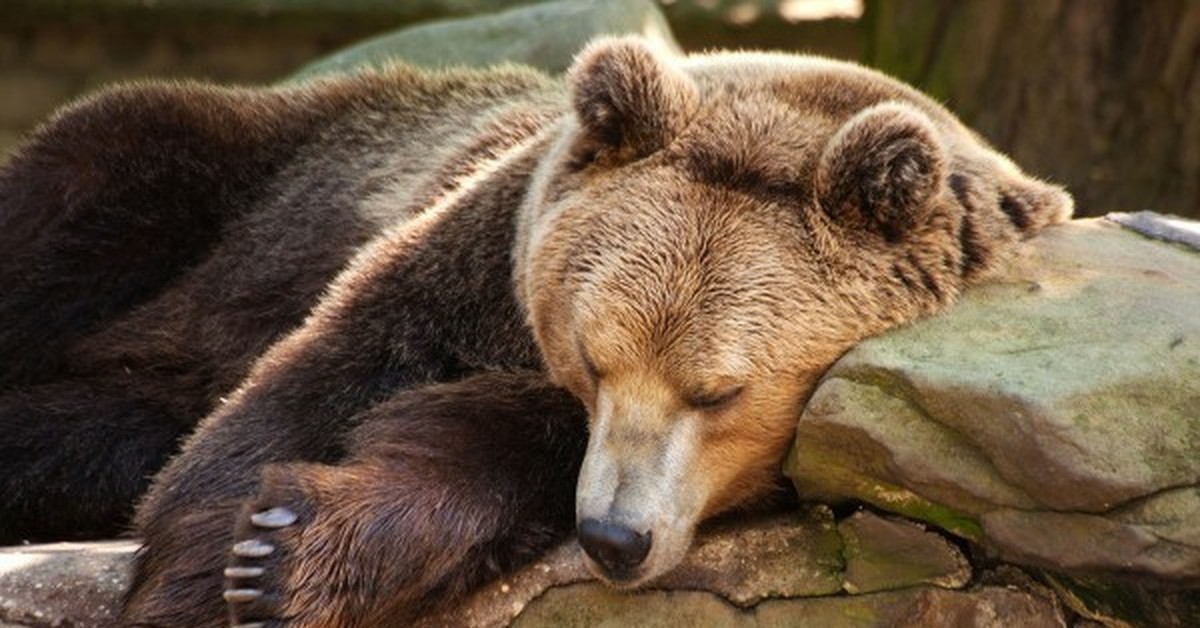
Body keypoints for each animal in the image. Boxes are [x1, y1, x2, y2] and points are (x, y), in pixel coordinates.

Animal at [0, 36, 1070, 624]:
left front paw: (292, 547)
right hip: (245, 170)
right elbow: (306, 388)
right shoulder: (462, 256)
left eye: (719, 391)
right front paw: (229, 565)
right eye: (593, 360)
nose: (615, 537)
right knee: (85, 184)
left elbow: (488, 442)